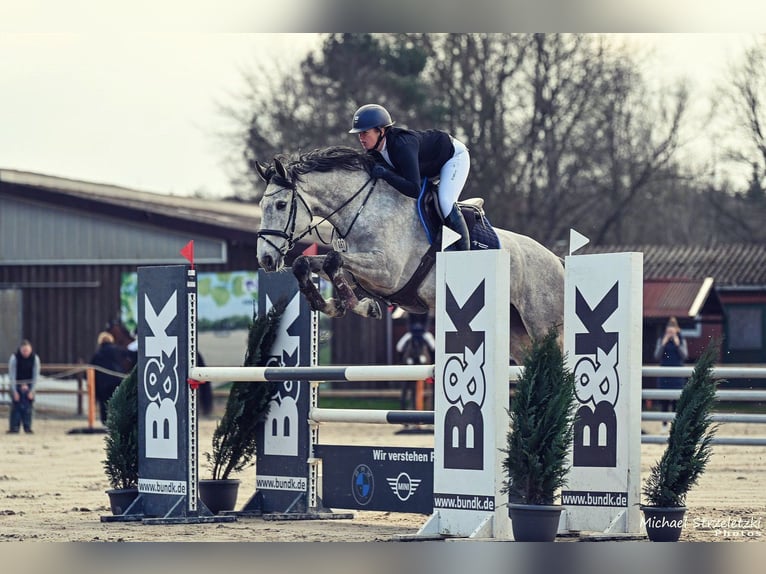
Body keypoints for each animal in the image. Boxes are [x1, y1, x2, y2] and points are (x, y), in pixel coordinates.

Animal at [256, 146, 564, 358]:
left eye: (281, 205)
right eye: (261, 206)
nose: (266, 260)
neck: (363, 208)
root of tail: (558, 261)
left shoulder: (387, 272)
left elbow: (334, 260)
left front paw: (363, 307)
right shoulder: (360, 271)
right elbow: (306, 263)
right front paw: (333, 305)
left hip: (542, 325)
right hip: (516, 334)